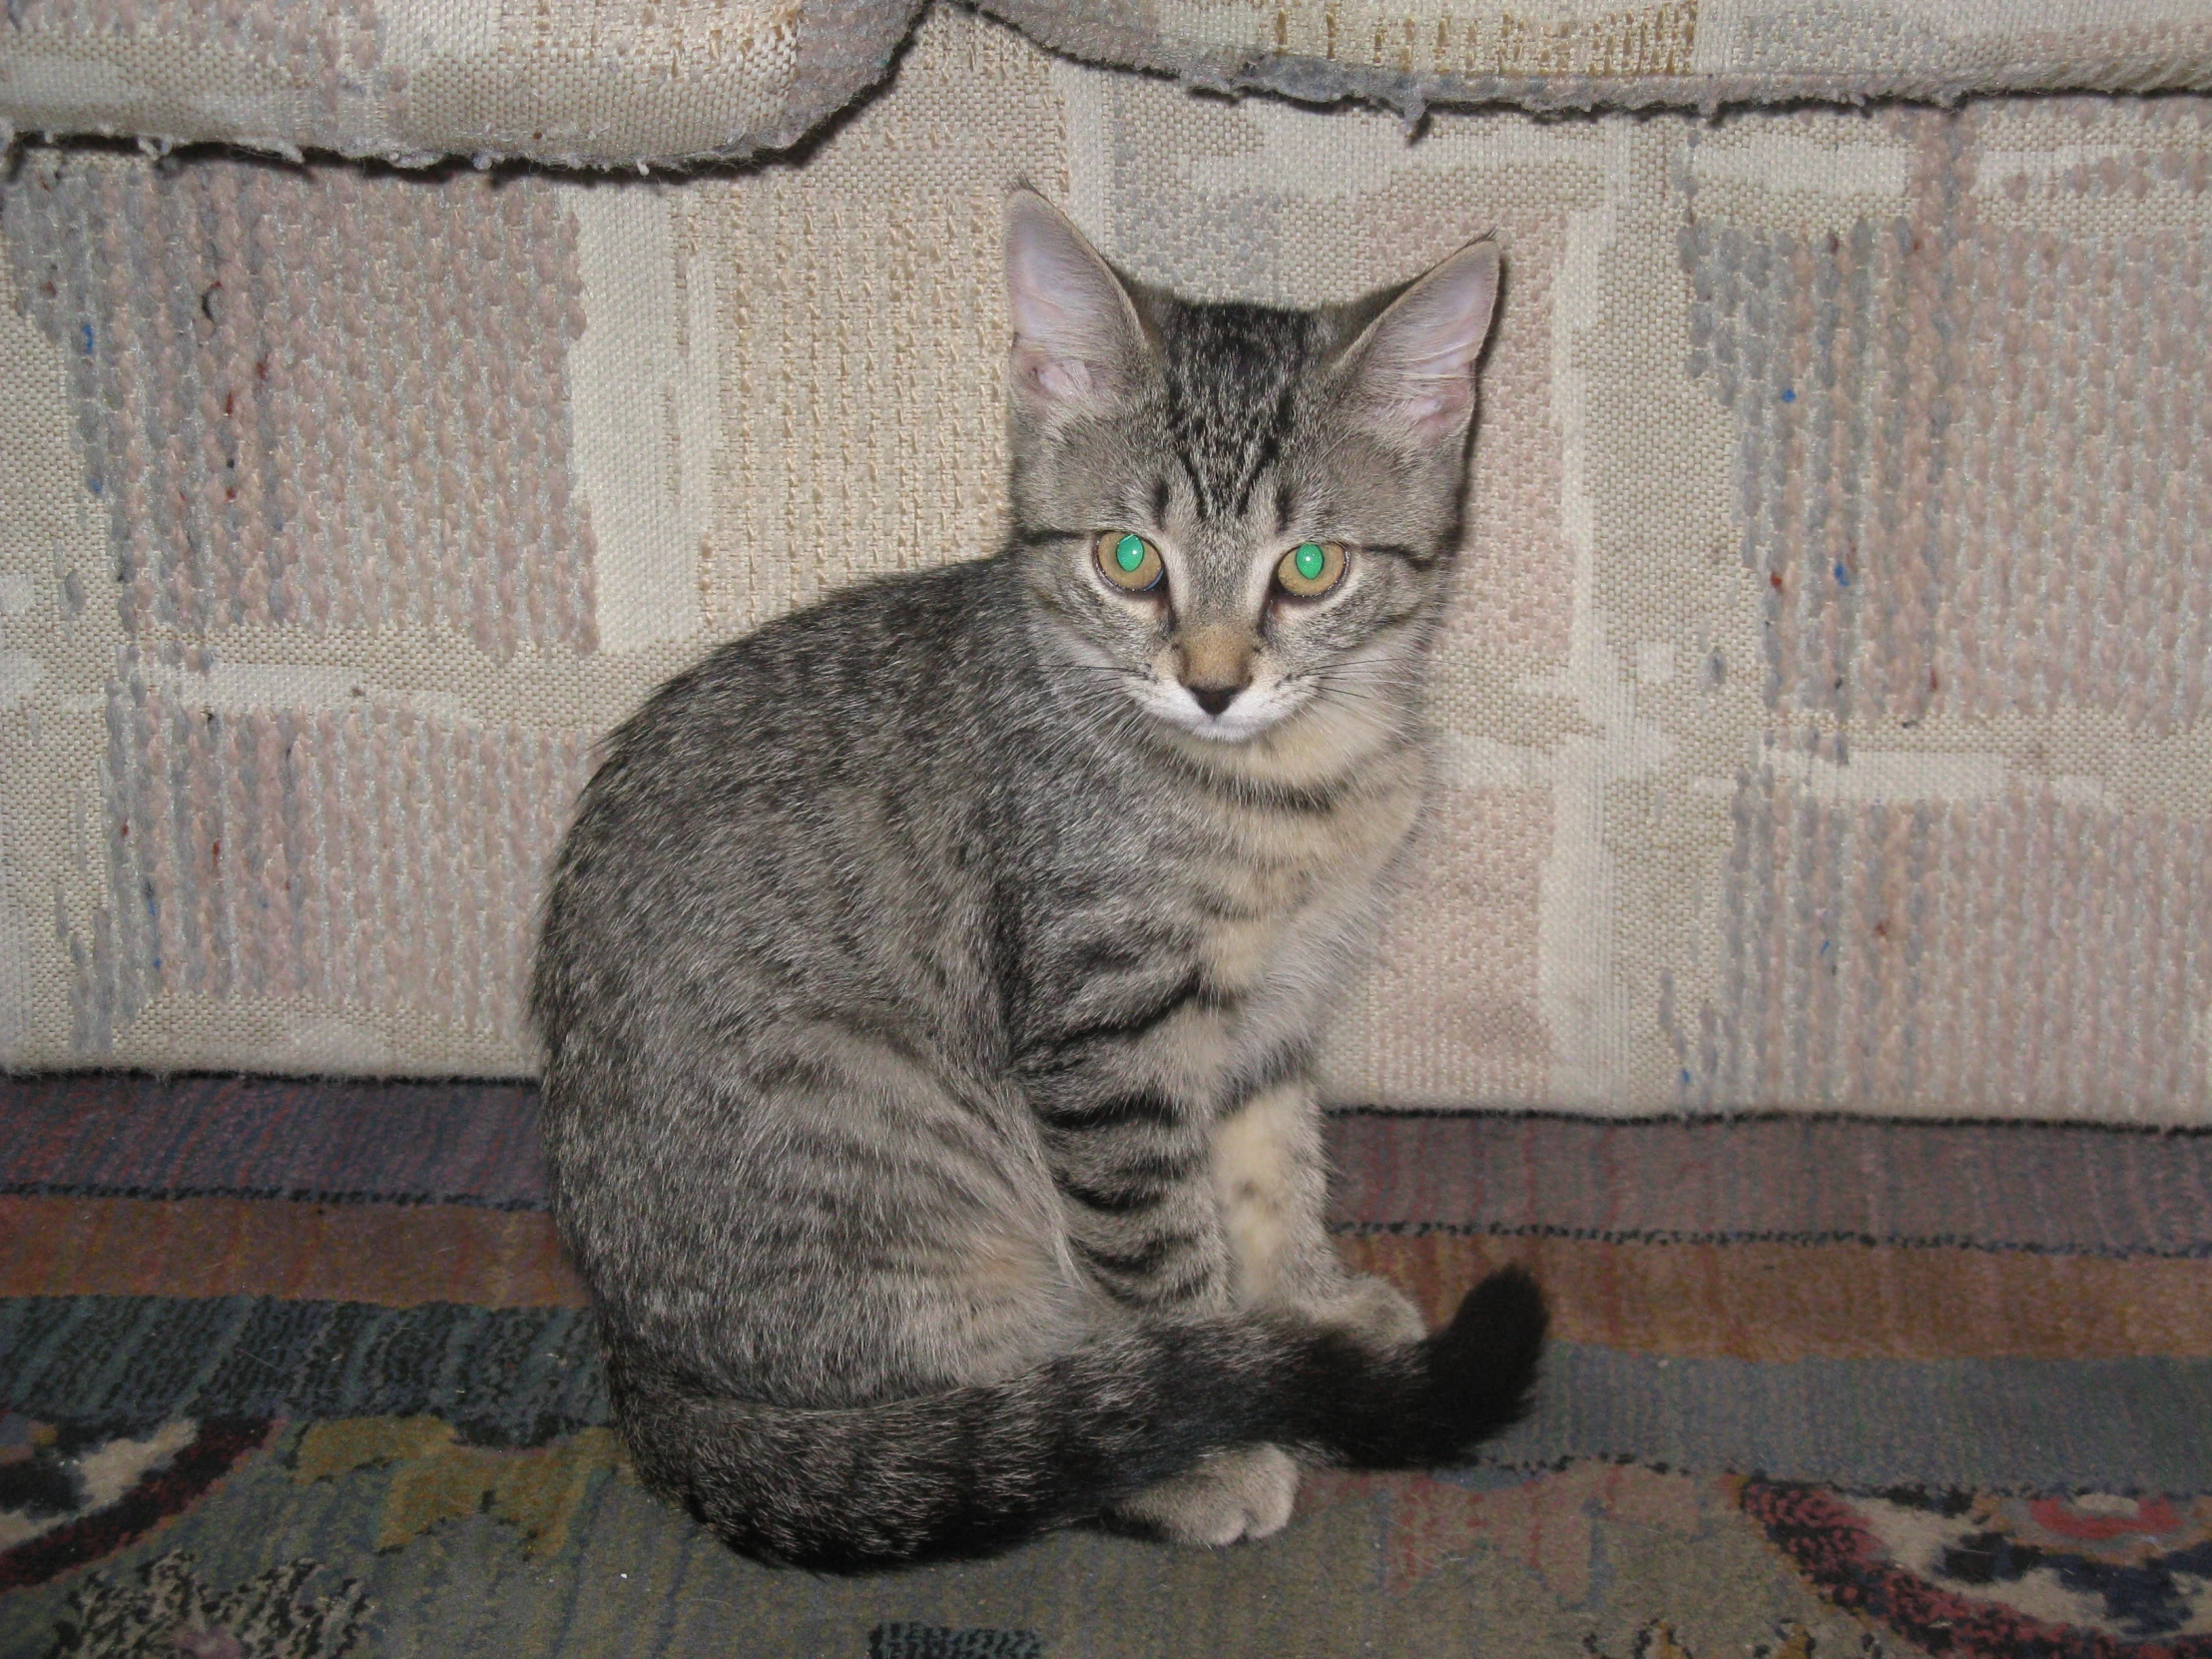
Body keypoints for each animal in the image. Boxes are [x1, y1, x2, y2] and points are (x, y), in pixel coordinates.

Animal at [528, 185, 1548, 1574]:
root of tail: (636, 1356)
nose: (1212, 682)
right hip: (905, 1180)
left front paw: (1305, 1308)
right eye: (1126, 558)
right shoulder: (1102, 1037)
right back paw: (1140, 1456)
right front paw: (1224, 1420)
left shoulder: (1271, 1013)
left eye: (1309, 568)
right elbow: (1165, 1261)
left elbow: (1272, 1173)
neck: (1282, 789)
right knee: (992, 1425)